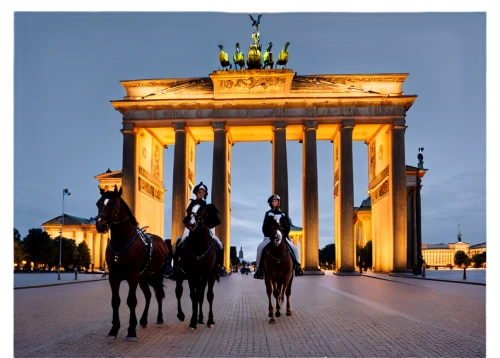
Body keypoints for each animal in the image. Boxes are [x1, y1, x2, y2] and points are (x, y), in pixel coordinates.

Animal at [94, 186, 169, 342]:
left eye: (113, 205)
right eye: (98, 203)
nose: (100, 225)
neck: (120, 242)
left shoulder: (132, 276)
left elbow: (131, 301)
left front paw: (131, 331)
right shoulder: (113, 277)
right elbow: (115, 301)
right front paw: (114, 329)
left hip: (155, 276)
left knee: (158, 294)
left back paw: (159, 318)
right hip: (144, 278)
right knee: (148, 295)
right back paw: (144, 320)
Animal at [168, 201, 219, 330]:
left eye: (204, 211)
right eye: (188, 209)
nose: (191, 224)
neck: (199, 247)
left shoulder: (207, 274)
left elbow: (206, 295)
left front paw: (209, 320)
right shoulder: (191, 274)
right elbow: (193, 296)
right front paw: (192, 321)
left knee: (203, 295)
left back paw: (201, 318)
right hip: (180, 274)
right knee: (179, 291)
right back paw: (181, 315)